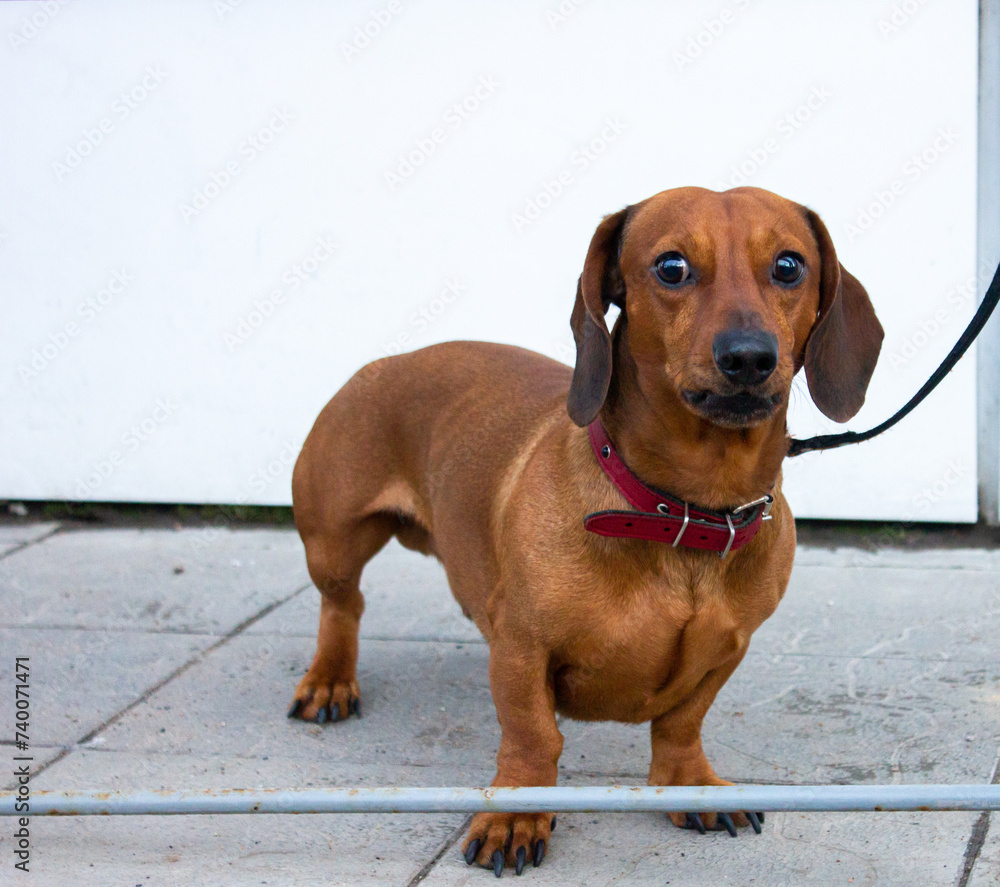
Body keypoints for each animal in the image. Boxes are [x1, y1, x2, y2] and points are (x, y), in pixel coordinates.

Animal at [288, 186, 884, 876]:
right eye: (672, 267)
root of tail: (388, 361)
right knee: (343, 604)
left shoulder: (728, 650)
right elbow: (532, 734)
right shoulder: (522, 646)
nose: (749, 357)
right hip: (333, 541)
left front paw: (689, 784)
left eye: (789, 266)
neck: (685, 513)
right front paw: (515, 815)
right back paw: (330, 680)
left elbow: (681, 724)